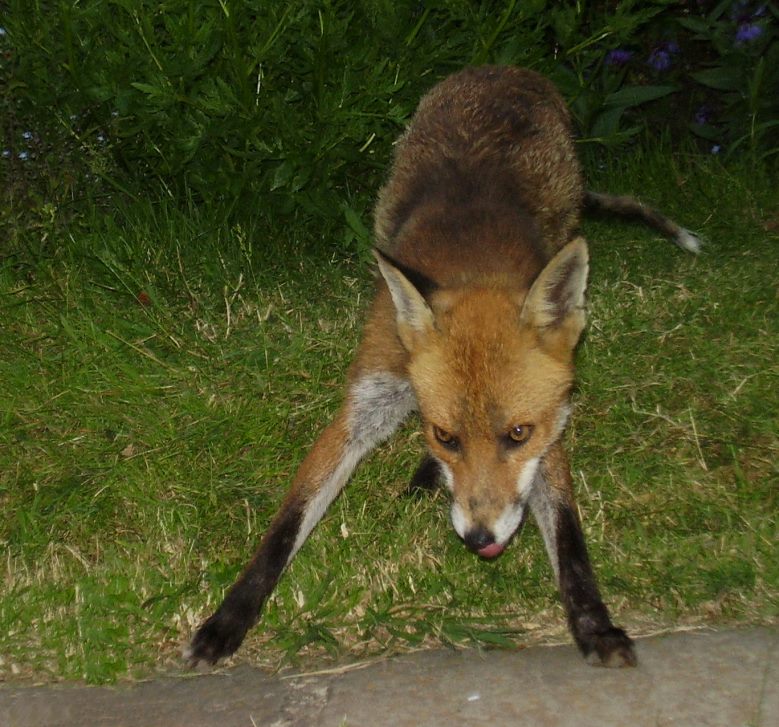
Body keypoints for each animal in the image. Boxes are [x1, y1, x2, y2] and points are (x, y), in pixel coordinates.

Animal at [186, 65, 700, 669]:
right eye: (445, 435)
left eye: (518, 434)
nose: (480, 539)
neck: (470, 265)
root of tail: (506, 69)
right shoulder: (367, 400)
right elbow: (286, 526)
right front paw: (228, 619)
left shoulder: (549, 429)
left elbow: (570, 539)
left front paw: (595, 625)